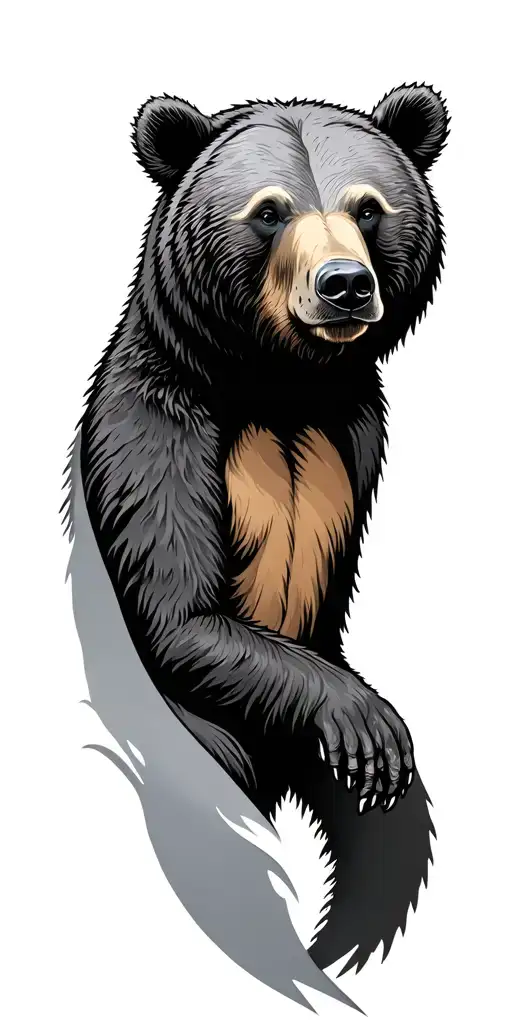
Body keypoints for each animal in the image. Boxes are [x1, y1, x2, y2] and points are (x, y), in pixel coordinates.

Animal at [77, 85, 449, 976]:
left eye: (368, 206)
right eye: (270, 210)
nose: (344, 284)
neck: (278, 390)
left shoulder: (349, 449)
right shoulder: (158, 431)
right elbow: (180, 613)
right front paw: (368, 723)